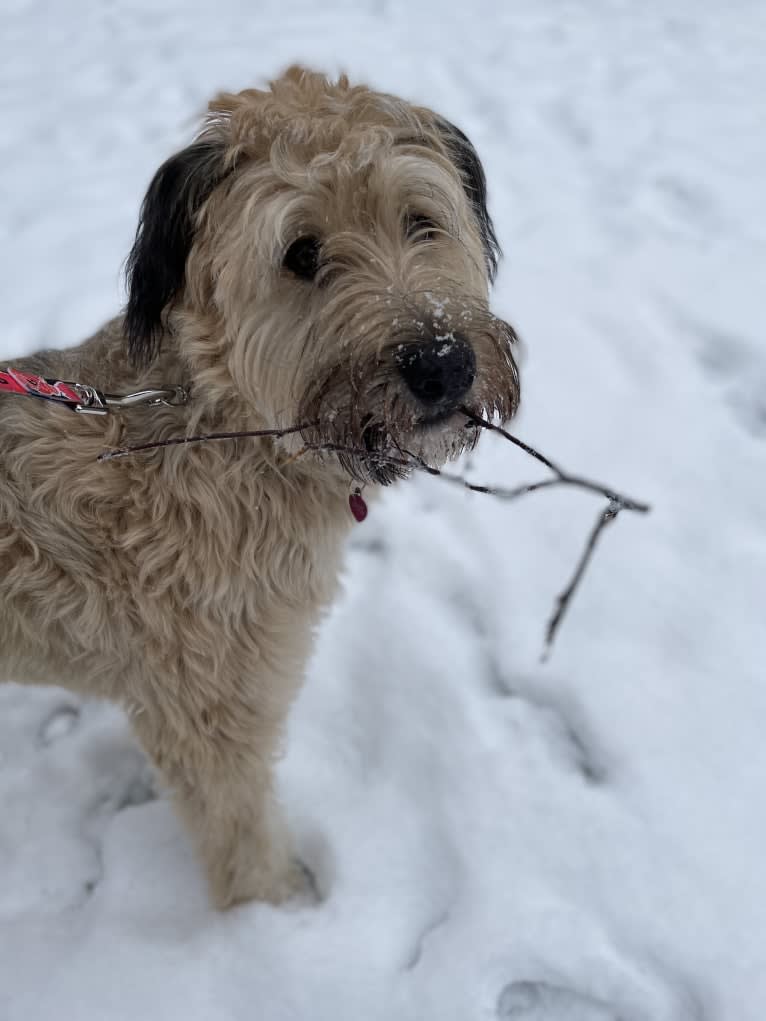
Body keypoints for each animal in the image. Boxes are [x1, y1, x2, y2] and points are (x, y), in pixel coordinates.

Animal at [1, 67, 522, 906]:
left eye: (420, 221)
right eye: (301, 252)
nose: (441, 364)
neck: (229, 429)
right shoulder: (209, 699)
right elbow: (237, 824)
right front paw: (277, 910)